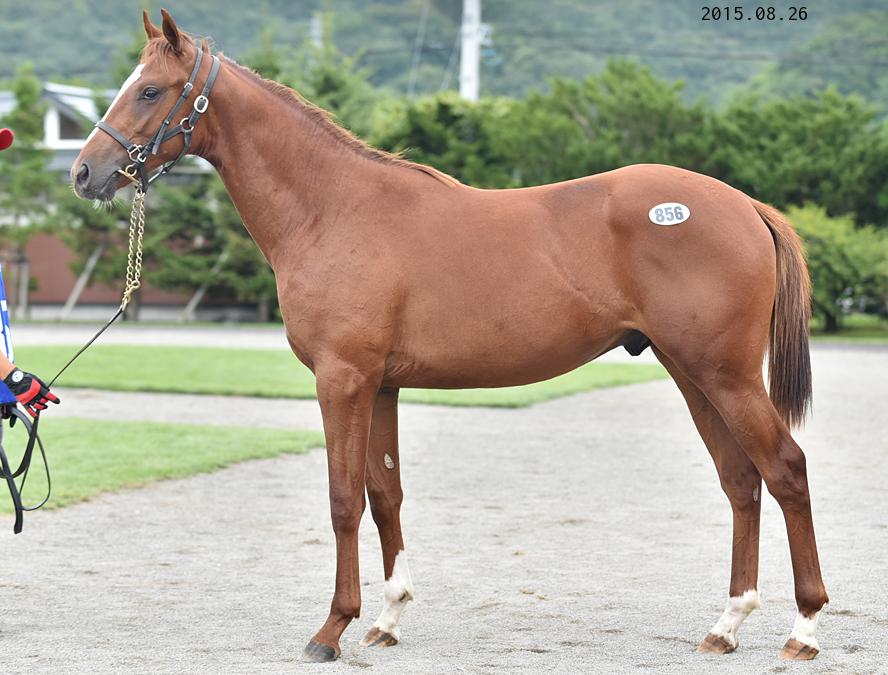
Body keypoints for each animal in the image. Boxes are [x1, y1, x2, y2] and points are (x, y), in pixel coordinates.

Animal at [71, 10, 828, 663]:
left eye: (149, 90)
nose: (84, 172)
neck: (332, 207)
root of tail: (745, 204)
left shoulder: (342, 379)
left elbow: (343, 498)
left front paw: (331, 628)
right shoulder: (380, 385)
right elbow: (385, 495)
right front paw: (386, 617)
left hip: (726, 374)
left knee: (786, 468)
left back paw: (804, 628)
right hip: (691, 372)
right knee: (741, 481)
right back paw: (727, 625)